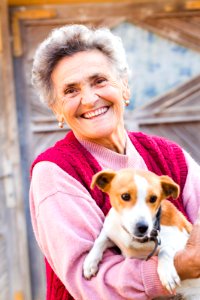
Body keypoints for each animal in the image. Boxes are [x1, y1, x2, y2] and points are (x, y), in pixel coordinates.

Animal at [82, 168, 200, 298]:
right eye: (125, 196)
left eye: (153, 198)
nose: (143, 227)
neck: (135, 239)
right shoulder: (112, 229)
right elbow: (101, 239)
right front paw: (90, 262)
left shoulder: (184, 242)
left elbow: (164, 250)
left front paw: (167, 273)